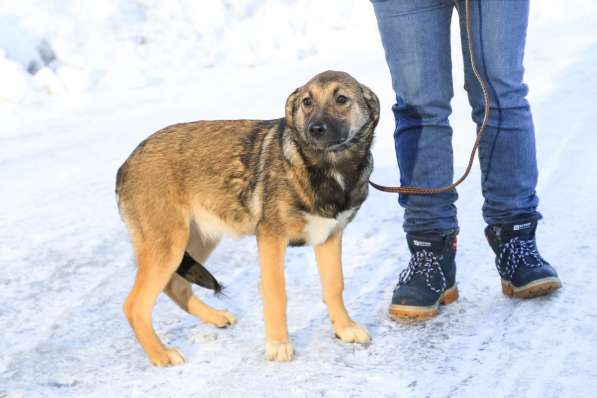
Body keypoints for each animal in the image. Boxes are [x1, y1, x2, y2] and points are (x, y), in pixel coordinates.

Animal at [115, 70, 378, 366]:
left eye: (341, 99)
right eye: (307, 102)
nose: (315, 129)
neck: (326, 165)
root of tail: (125, 165)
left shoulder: (328, 237)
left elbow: (334, 286)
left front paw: (344, 329)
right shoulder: (271, 239)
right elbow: (276, 293)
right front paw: (278, 344)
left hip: (197, 239)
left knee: (175, 286)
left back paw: (215, 317)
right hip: (168, 245)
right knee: (135, 305)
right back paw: (161, 354)